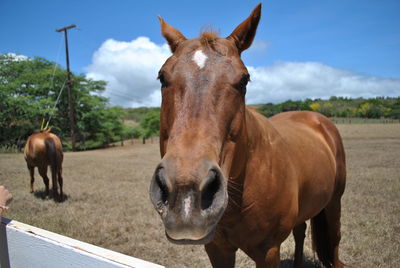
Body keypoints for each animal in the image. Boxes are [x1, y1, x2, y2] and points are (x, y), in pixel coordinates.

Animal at [148, 3, 346, 268]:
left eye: (244, 80)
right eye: (162, 77)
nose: (185, 193)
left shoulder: (268, 251)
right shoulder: (217, 249)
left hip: (334, 201)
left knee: (334, 238)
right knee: (300, 232)